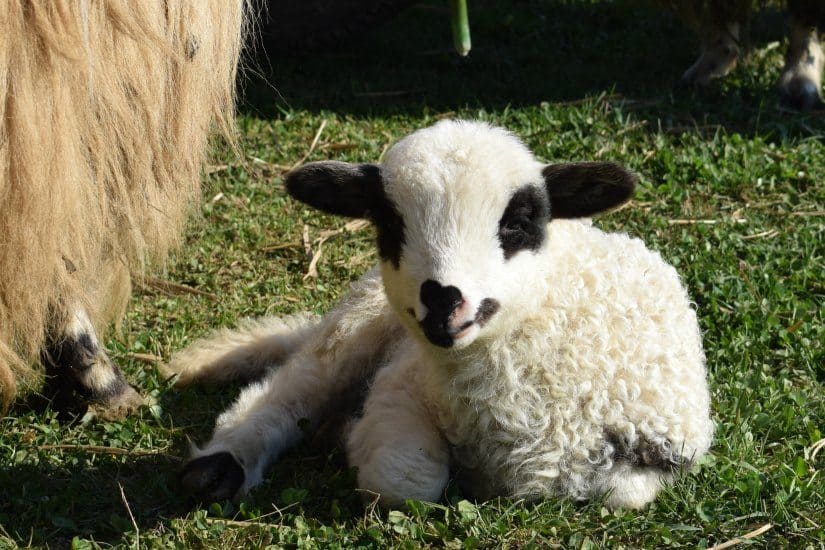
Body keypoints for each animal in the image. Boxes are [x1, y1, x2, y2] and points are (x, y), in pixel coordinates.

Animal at [167, 120, 714, 509]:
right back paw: (221, 465)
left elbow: (625, 492)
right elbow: (407, 480)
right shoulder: (400, 383)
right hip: (362, 319)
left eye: (519, 223)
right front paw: (351, 434)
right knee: (297, 383)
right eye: (389, 225)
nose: (444, 300)